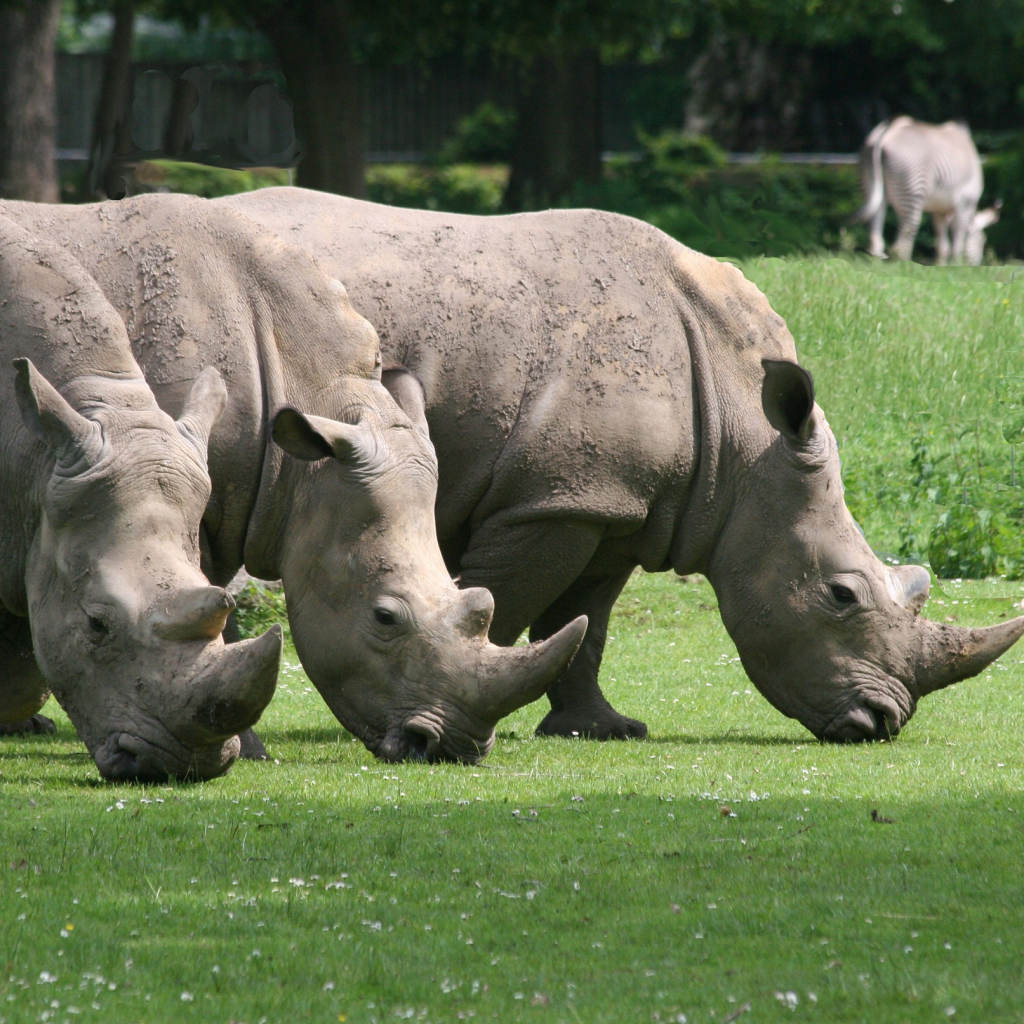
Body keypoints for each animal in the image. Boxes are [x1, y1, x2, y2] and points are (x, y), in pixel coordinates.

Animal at [847, 117, 999, 266]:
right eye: (983, 240)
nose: (976, 266)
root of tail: (887, 131)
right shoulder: (966, 203)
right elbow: (958, 242)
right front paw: (957, 266)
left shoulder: (939, 211)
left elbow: (943, 246)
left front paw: (941, 267)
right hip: (912, 193)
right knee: (901, 245)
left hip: (870, 185)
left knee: (876, 240)